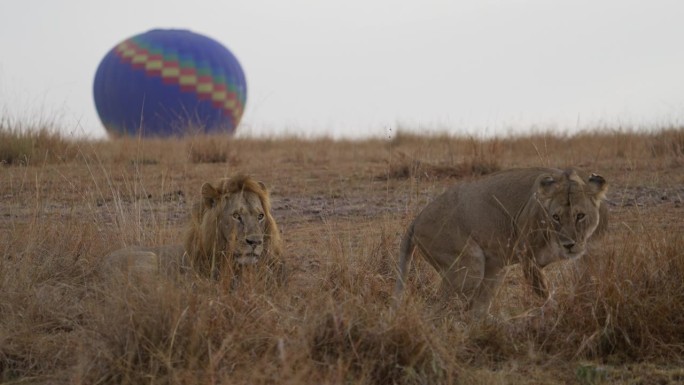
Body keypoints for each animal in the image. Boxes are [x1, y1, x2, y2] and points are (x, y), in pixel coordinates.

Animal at [396, 166, 608, 314]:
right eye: (556, 217)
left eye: (580, 216)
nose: (569, 245)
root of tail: (417, 218)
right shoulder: (528, 258)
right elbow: (544, 293)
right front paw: (553, 313)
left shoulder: (588, 255)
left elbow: (589, 281)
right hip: (469, 265)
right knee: (441, 308)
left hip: (495, 268)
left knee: (476, 310)